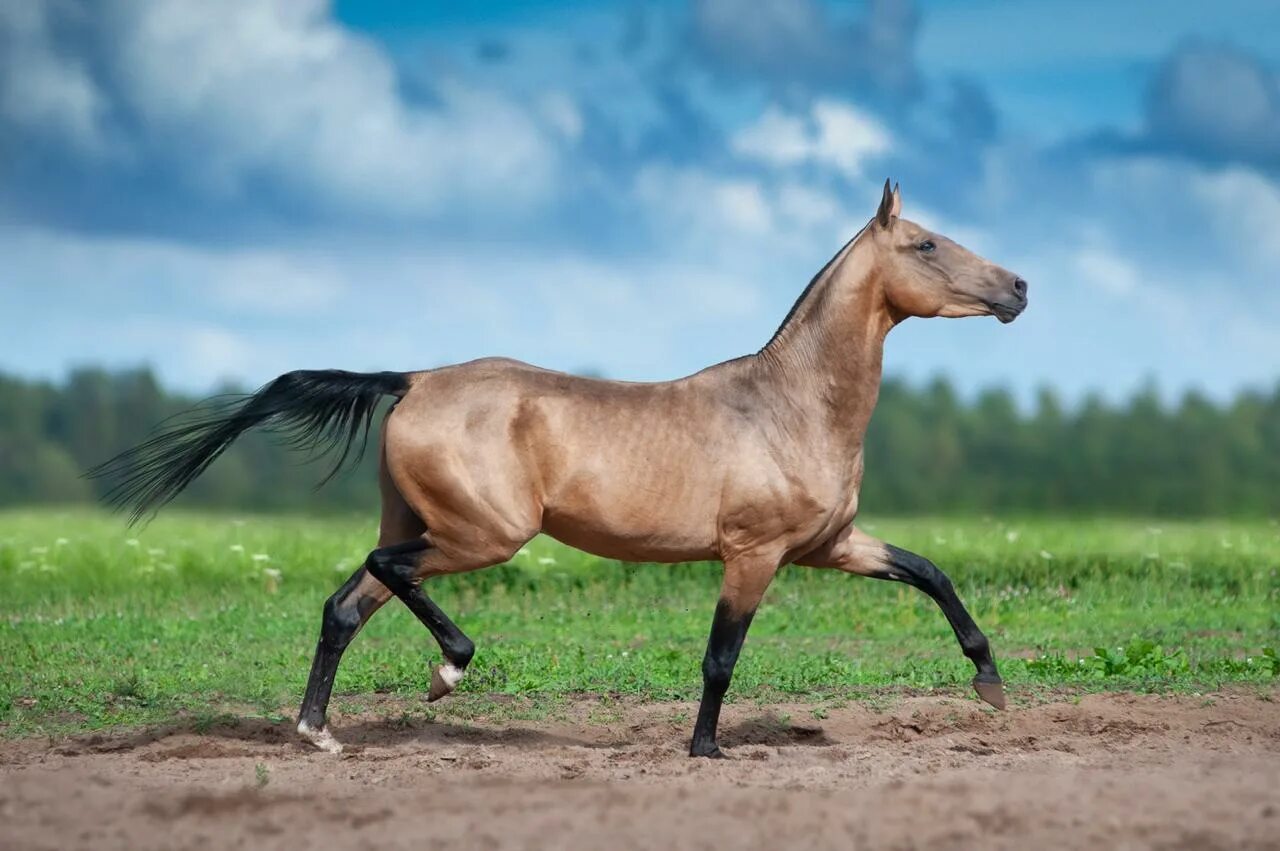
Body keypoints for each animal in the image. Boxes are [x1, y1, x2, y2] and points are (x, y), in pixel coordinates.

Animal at [90, 180, 1024, 757]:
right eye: (927, 243)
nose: (1017, 286)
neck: (786, 407)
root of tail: (412, 378)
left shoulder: (831, 545)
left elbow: (931, 573)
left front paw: (990, 683)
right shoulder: (753, 554)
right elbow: (721, 656)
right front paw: (706, 747)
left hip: (421, 518)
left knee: (345, 603)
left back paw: (319, 731)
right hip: (482, 533)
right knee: (387, 572)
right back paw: (448, 670)